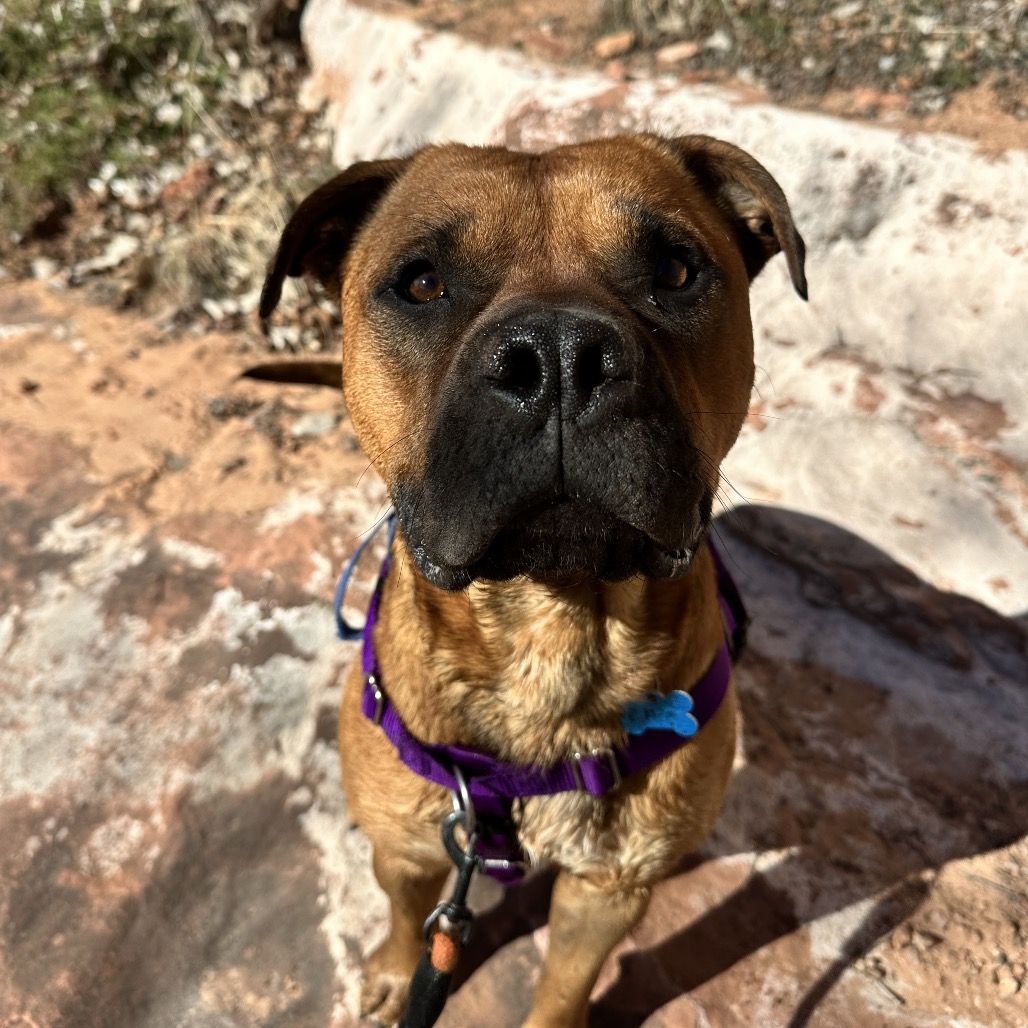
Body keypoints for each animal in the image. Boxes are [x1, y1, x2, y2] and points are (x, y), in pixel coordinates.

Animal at [259, 134, 806, 1027]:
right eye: (421, 284)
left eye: (676, 270)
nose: (557, 355)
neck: (550, 624)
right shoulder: (408, 850)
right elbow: (407, 918)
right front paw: (396, 971)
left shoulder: (608, 888)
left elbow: (565, 984)